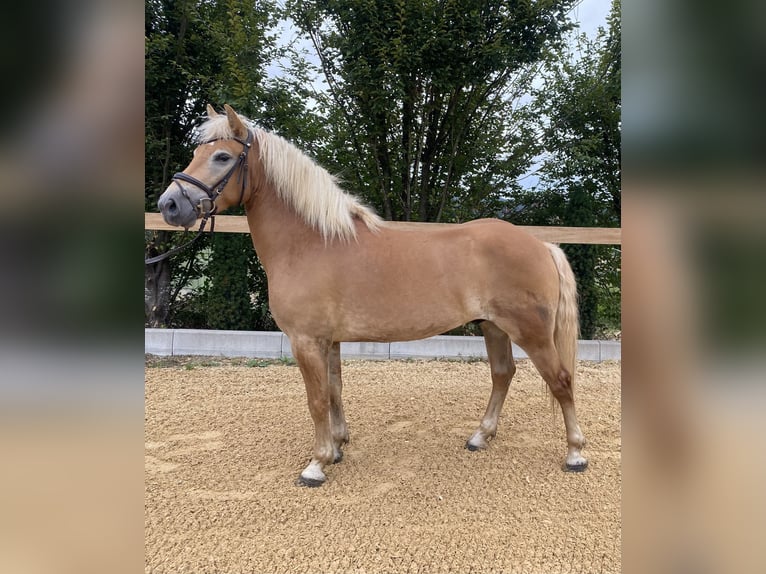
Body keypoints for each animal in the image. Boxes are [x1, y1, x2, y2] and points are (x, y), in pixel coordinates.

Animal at [156, 106, 588, 488]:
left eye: (222, 156)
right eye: (196, 152)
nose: (169, 205)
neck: (311, 242)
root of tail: (540, 245)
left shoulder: (305, 341)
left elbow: (316, 400)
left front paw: (316, 464)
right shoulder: (328, 341)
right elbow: (334, 392)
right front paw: (337, 447)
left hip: (531, 332)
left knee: (561, 381)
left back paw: (575, 453)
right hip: (494, 327)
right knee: (503, 375)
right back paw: (480, 437)